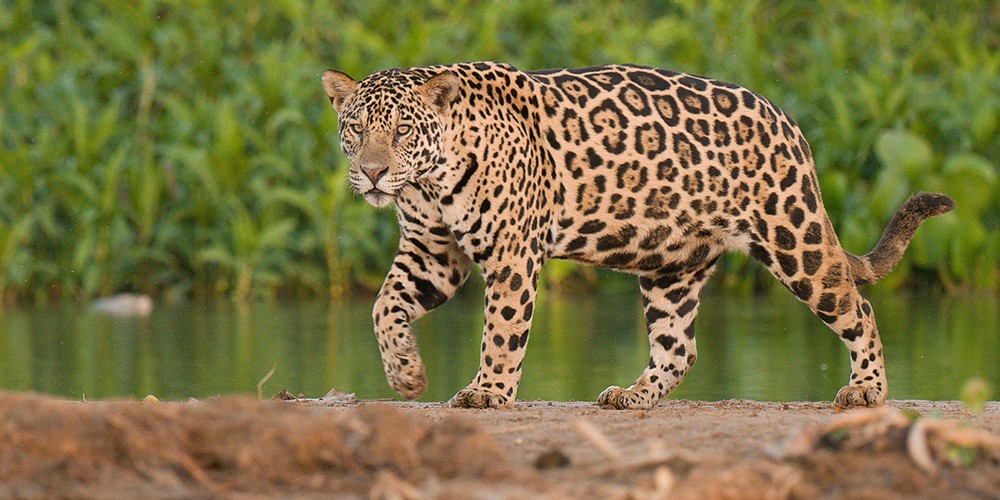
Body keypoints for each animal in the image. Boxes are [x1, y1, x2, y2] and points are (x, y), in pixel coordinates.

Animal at [321, 61, 954, 410]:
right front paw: (406, 372)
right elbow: (384, 306)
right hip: (671, 264)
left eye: (403, 131)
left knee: (857, 306)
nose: (372, 173)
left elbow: (501, 330)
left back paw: (867, 390)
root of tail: (787, 121)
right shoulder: (434, 252)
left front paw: (488, 392)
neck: (430, 179)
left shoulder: (512, 253)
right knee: (679, 348)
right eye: (356, 128)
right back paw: (632, 396)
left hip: (793, 237)